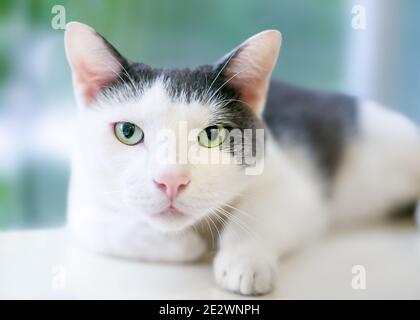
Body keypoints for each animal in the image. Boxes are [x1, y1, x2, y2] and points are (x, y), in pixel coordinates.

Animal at [64, 21, 418, 296]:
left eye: (212, 135)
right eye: (127, 131)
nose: (171, 180)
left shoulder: (292, 184)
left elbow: (258, 214)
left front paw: (244, 261)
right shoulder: (82, 203)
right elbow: (113, 227)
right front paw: (187, 244)